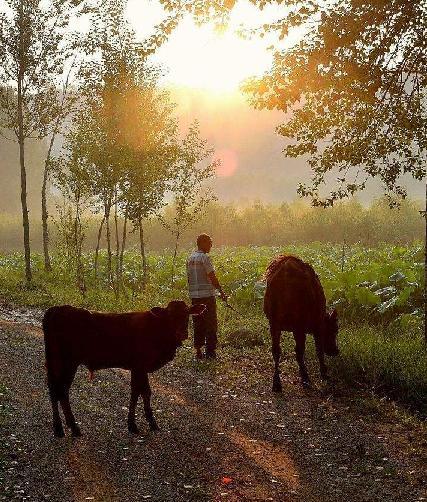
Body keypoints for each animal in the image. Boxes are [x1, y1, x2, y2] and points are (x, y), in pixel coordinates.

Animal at [42, 300, 206, 438]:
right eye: (170, 315)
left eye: (187, 314)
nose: (183, 333)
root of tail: (55, 309)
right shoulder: (139, 366)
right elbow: (140, 392)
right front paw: (139, 424)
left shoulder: (138, 368)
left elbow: (141, 392)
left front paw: (142, 423)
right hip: (67, 362)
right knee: (60, 389)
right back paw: (67, 428)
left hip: (57, 362)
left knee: (56, 389)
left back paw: (64, 427)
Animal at [262, 255, 340, 392]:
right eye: (335, 329)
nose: (335, 351)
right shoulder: (315, 327)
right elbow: (318, 349)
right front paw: (323, 372)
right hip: (297, 325)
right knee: (299, 350)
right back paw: (304, 376)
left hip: (274, 323)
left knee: (276, 350)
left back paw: (277, 382)